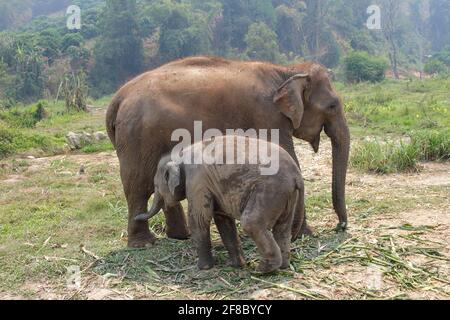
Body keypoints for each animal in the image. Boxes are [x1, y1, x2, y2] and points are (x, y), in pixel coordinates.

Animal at [107, 56, 350, 249]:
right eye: (332, 106)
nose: (340, 226)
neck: (286, 71)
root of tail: (118, 98)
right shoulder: (267, 117)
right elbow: (288, 160)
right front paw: (303, 235)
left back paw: (181, 236)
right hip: (138, 138)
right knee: (138, 186)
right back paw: (144, 244)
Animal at [136, 134, 306, 272]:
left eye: (156, 186)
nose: (135, 217)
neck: (180, 154)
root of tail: (297, 174)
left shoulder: (197, 181)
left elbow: (199, 219)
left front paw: (203, 268)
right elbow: (223, 219)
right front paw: (236, 265)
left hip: (269, 191)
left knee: (252, 223)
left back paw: (262, 270)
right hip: (287, 195)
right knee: (283, 228)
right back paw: (283, 267)